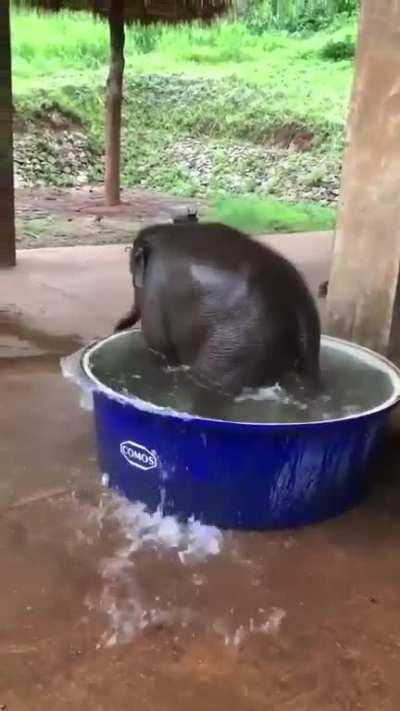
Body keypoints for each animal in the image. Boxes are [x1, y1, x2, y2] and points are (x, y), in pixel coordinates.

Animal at [115, 221, 321, 397]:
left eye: (132, 273)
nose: (116, 327)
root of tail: (299, 306)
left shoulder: (155, 295)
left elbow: (158, 344)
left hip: (237, 348)